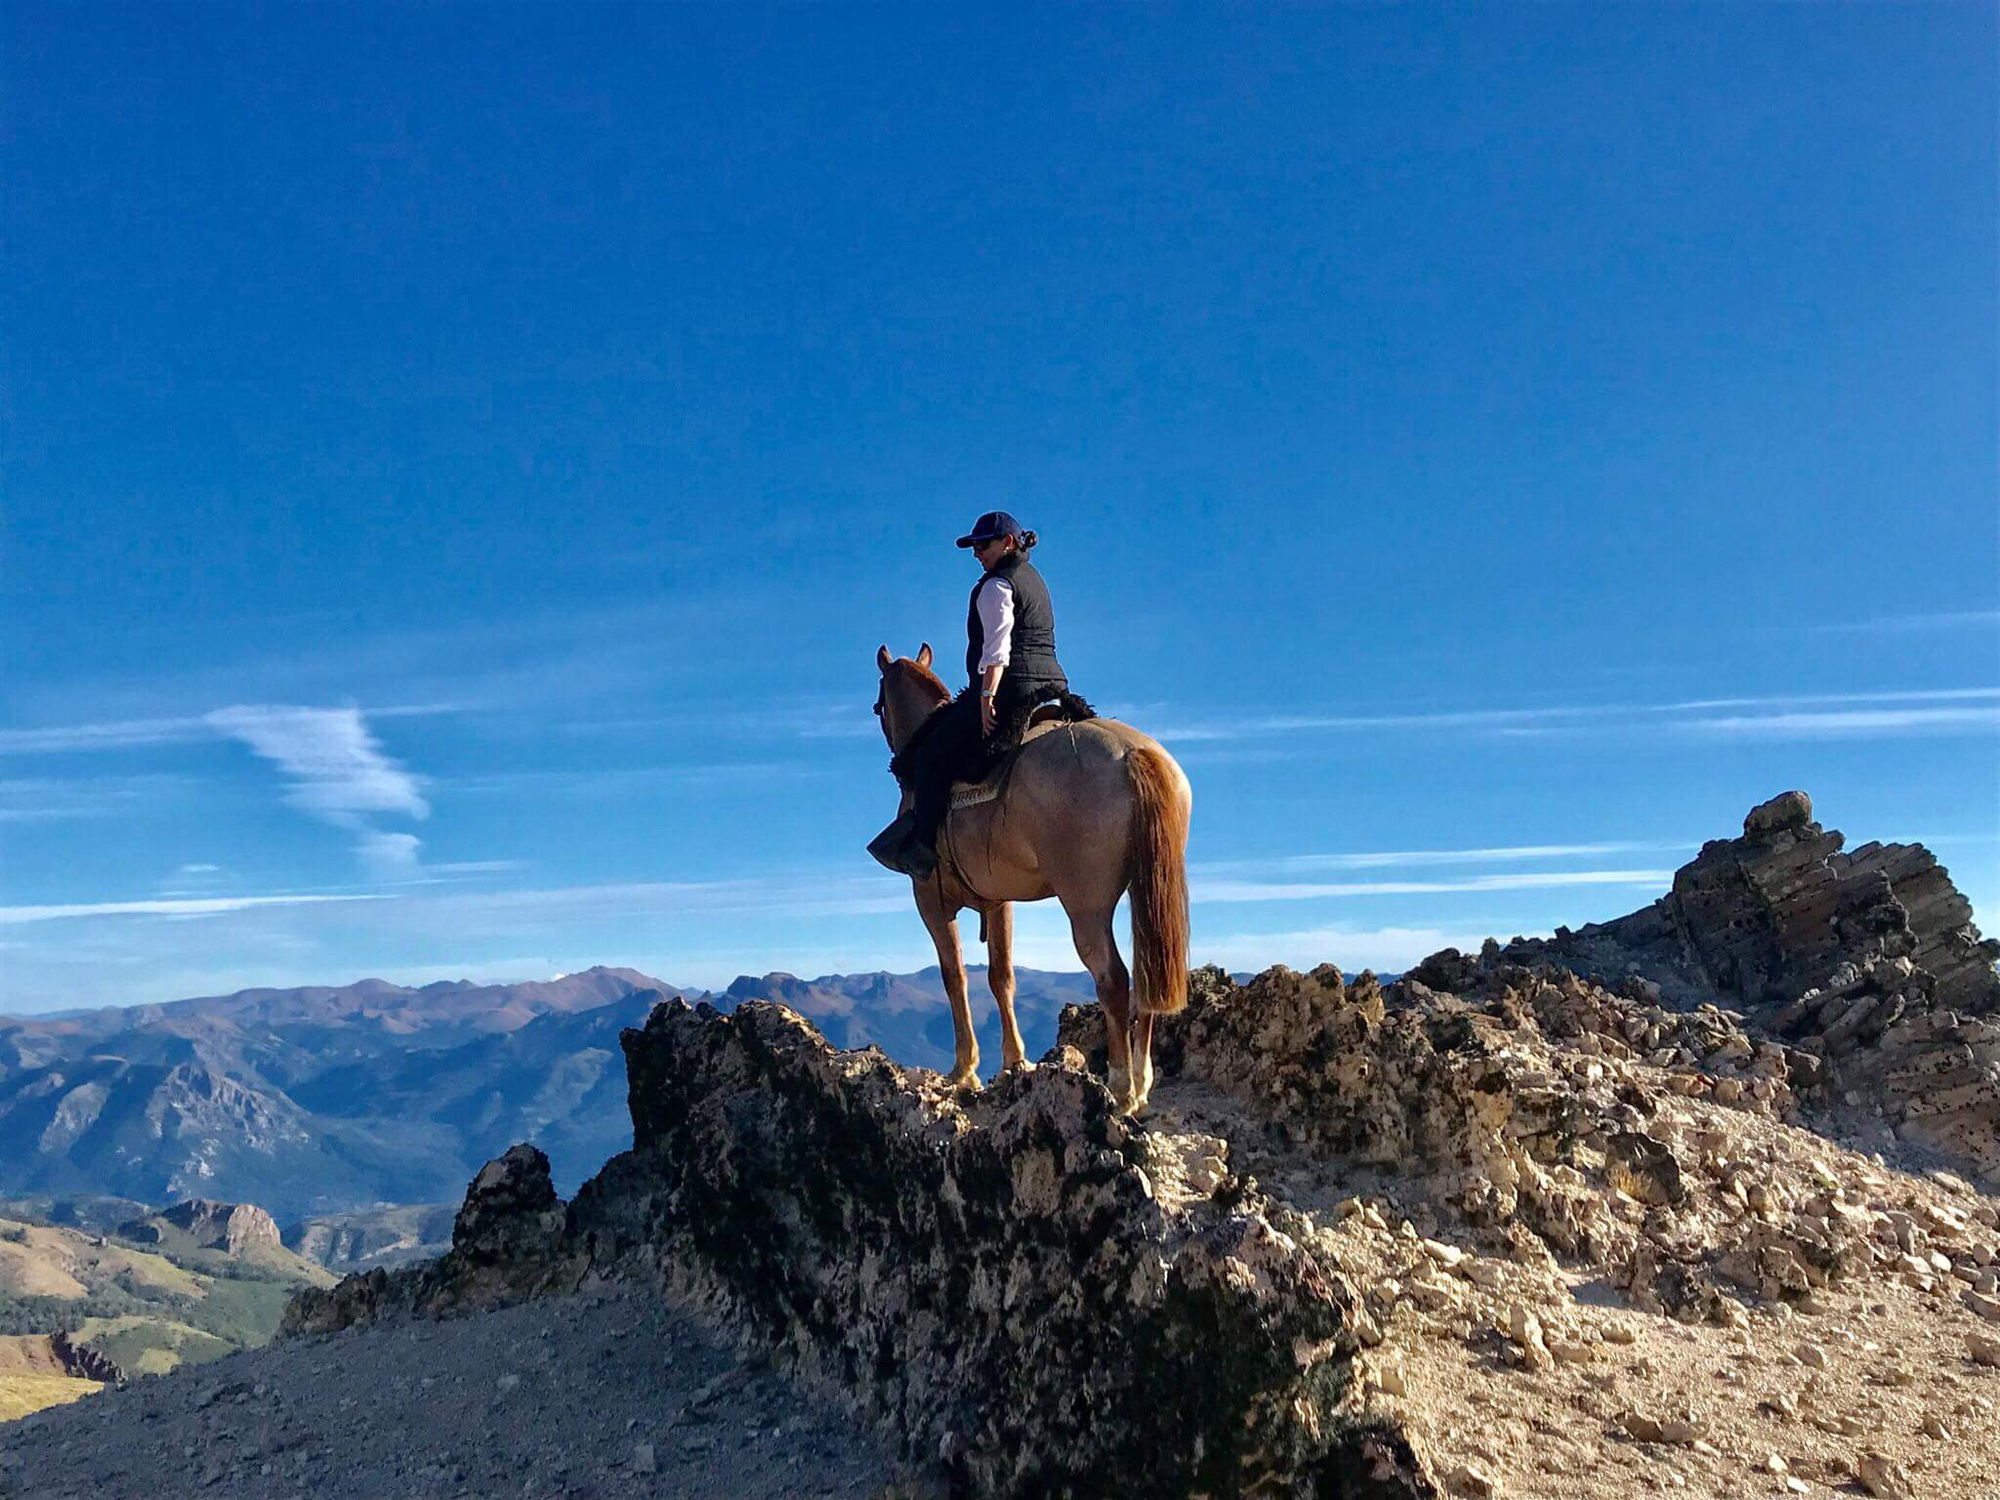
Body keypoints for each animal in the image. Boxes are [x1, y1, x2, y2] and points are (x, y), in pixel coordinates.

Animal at [873, 644, 1191, 1113]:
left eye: (879, 706)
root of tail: (1132, 753)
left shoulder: (931, 901)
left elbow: (954, 977)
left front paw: (964, 1070)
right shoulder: (998, 903)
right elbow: (1001, 977)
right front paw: (1013, 1062)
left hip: (1085, 906)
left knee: (1113, 979)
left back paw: (1120, 1087)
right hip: (1146, 891)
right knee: (1145, 974)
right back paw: (1142, 1084)